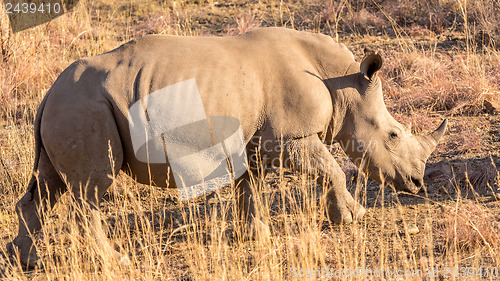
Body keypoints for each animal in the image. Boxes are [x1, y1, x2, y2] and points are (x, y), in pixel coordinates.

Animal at [6, 27, 446, 266]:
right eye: (393, 136)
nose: (418, 185)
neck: (344, 84)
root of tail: (46, 95)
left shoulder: (256, 140)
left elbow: (249, 184)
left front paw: (257, 236)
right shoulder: (289, 137)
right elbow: (330, 168)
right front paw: (353, 218)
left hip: (71, 107)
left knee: (48, 186)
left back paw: (27, 261)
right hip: (84, 108)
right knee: (89, 193)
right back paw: (116, 261)